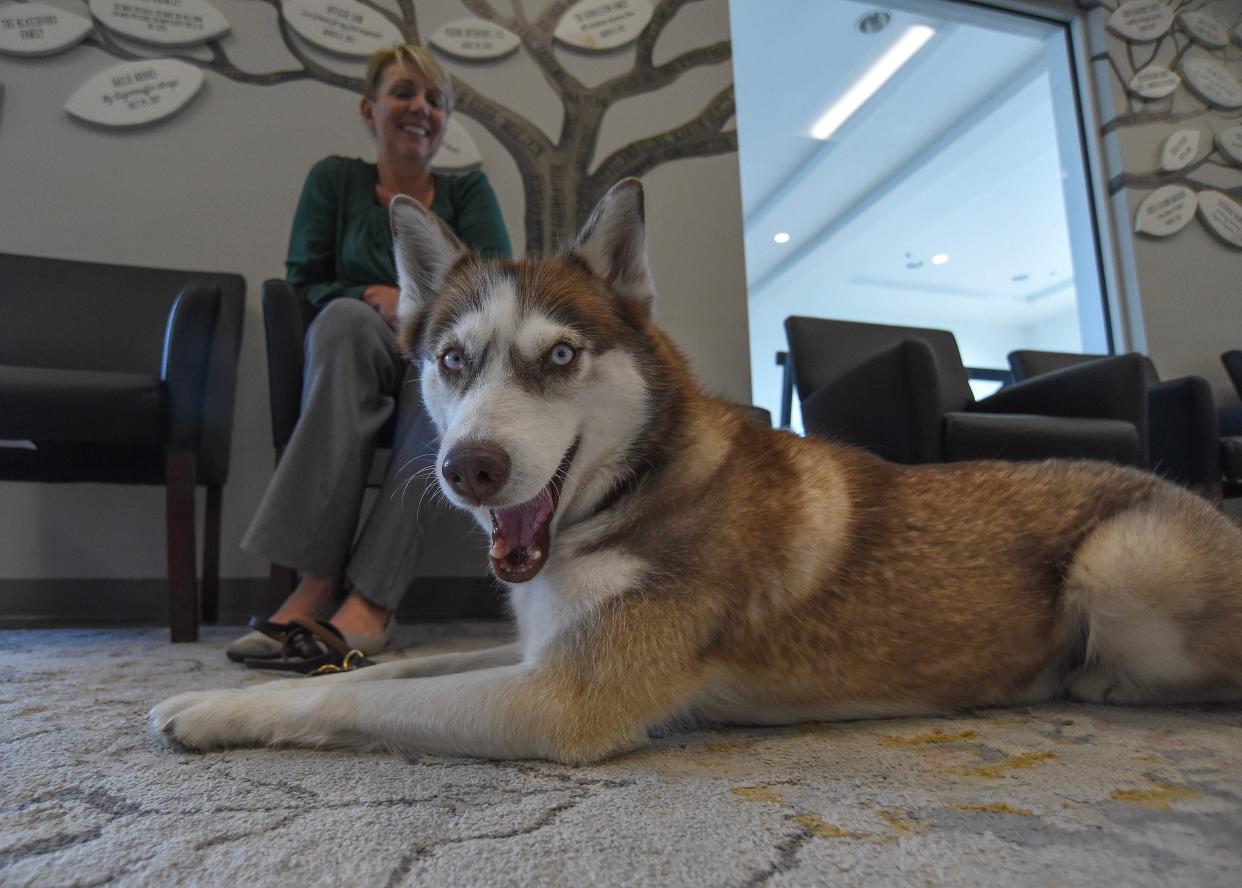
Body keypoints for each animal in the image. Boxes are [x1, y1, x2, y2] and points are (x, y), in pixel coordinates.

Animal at [150, 180, 1242, 765]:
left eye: (559, 357)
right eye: (453, 361)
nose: (470, 470)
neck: (635, 493)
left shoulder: (562, 699)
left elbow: (348, 699)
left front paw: (217, 712)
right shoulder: (539, 647)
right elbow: (396, 665)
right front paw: (245, 684)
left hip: (1123, 566)